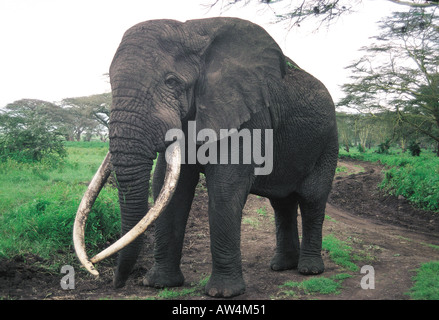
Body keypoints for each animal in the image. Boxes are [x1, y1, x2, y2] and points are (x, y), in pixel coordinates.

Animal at [73, 16, 340, 298]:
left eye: (171, 82)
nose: (108, 277)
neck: (192, 31)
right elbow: (169, 187)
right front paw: (159, 284)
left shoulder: (246, 114)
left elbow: (225, 187)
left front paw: (223, 293)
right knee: (282, 202)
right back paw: (281, 266)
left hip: (328, 141)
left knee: (311, 198)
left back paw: (309, 270)